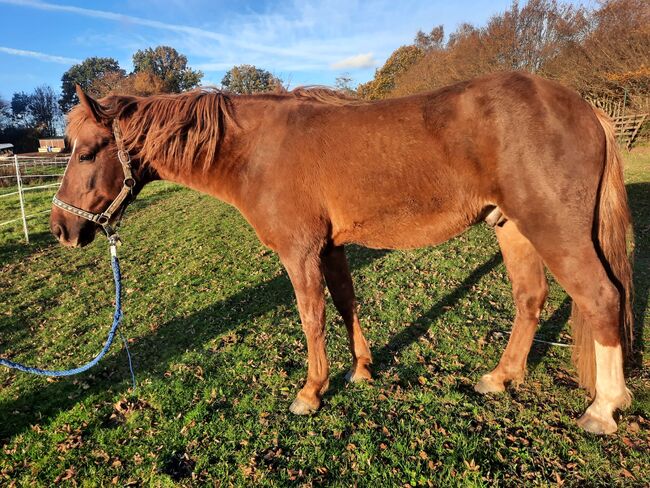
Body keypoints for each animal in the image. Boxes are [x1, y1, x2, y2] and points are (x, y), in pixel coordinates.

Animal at [52, 72, 632, 434]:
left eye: (87, 153)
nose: (61, 229)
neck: (255, 152)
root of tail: (583, 106)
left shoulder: (300, 251)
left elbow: (312, 315)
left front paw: (311, 392)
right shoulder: (330, 247)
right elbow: (346, 302)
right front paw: (361, 370)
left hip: (553, 229)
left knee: (602, 297)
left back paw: (604, 408)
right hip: (511, 228)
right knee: (530, 297)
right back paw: (501, 377)